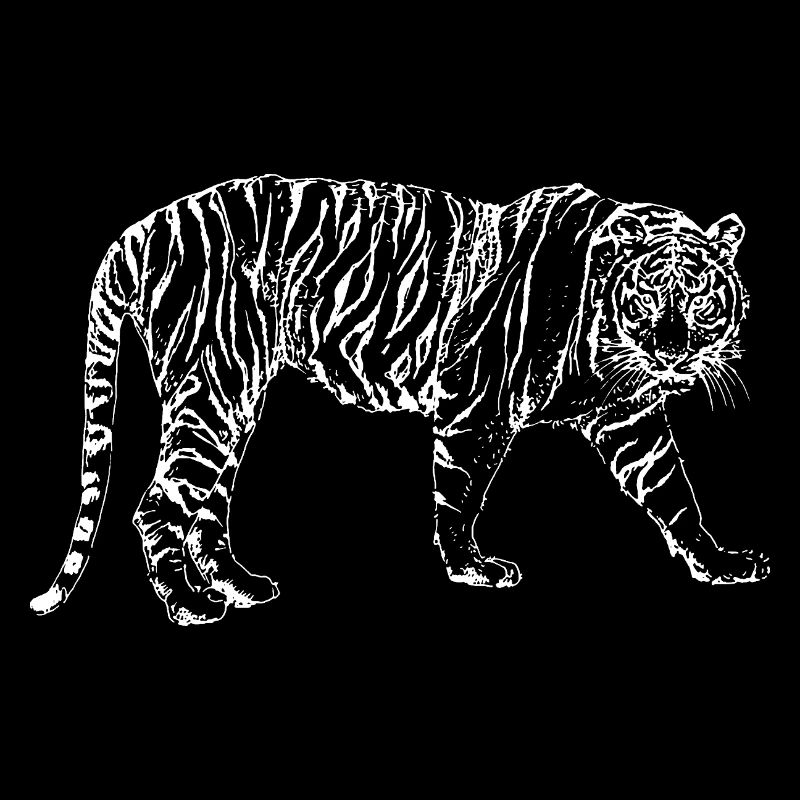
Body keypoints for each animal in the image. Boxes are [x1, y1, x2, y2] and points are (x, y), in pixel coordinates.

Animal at [30, 174, 770, 625]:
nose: (671, 353)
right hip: (213, 392)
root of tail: (143, 227)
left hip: (229, 400)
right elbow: (459, 495)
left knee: (205, 511)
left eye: (702, 298)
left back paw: (239, 587)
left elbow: (675, 492)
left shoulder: (630, 418)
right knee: (155, 506)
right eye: (646, 295)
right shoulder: (477, 409)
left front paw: (720, 564)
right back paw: (190, 606)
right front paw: (472, 569)